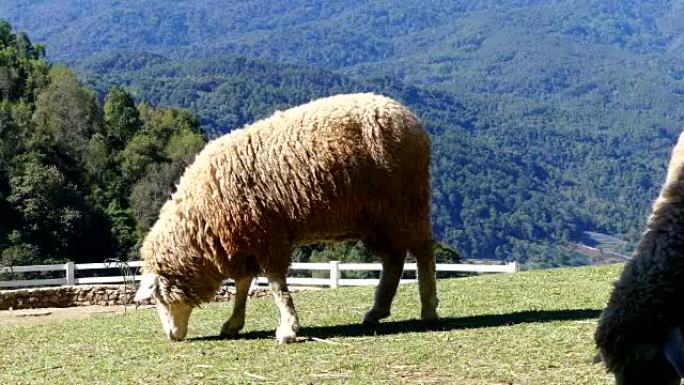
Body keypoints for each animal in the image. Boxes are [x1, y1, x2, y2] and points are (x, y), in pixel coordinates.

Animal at [134, 92, 438, 342]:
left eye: (159, 298)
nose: (172, 336)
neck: (202, 219)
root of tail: (410, 118)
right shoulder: (246, 239)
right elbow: (243, 284)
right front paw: (233, 323)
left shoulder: (267, 234)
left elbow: (276, 284)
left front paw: (288, 328)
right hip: (378, 218)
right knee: (394, 259)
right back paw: (377, 311)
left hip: (407, 204)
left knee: (423, 252)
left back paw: (428, 309)